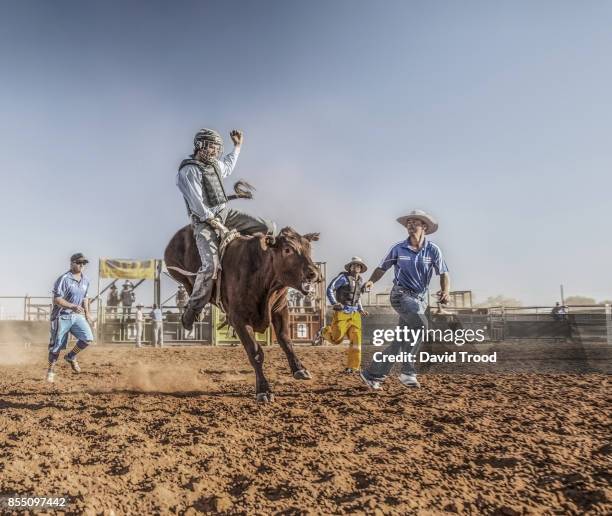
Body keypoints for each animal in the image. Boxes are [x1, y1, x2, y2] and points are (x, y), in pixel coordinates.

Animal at [165, 224, 322, 402]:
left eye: (308, 248)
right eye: (287, 249)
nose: (313, 273)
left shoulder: (280, 309)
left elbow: (286, 340)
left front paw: (299, 369)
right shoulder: (239, 319)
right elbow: (255, 352)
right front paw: (264, 390)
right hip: (179, 271)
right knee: (191, 285)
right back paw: (190, 314)